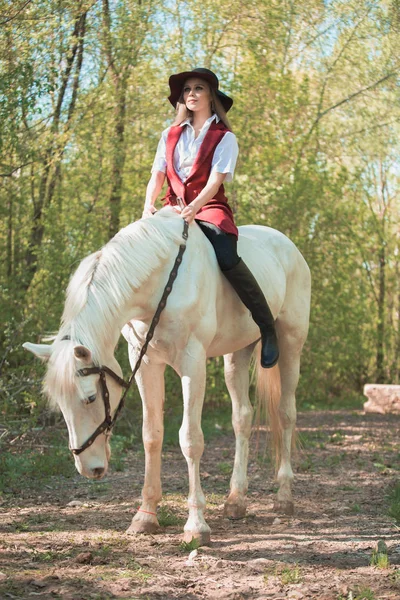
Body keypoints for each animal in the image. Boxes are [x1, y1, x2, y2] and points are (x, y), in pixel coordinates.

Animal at [23, 209, 310, 548]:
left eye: (90, 398)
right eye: (60, 405)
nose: (89, 468)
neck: (160, 281)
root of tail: (288, 245)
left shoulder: (192, 363)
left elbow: (190, 439)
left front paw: (196, 525)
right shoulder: (146, 362)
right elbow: (152, 435)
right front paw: (145, 516)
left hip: (290, 342)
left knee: (286, 413)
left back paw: (285, 496)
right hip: (236, 353)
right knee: (242, 418)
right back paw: (236, 500)